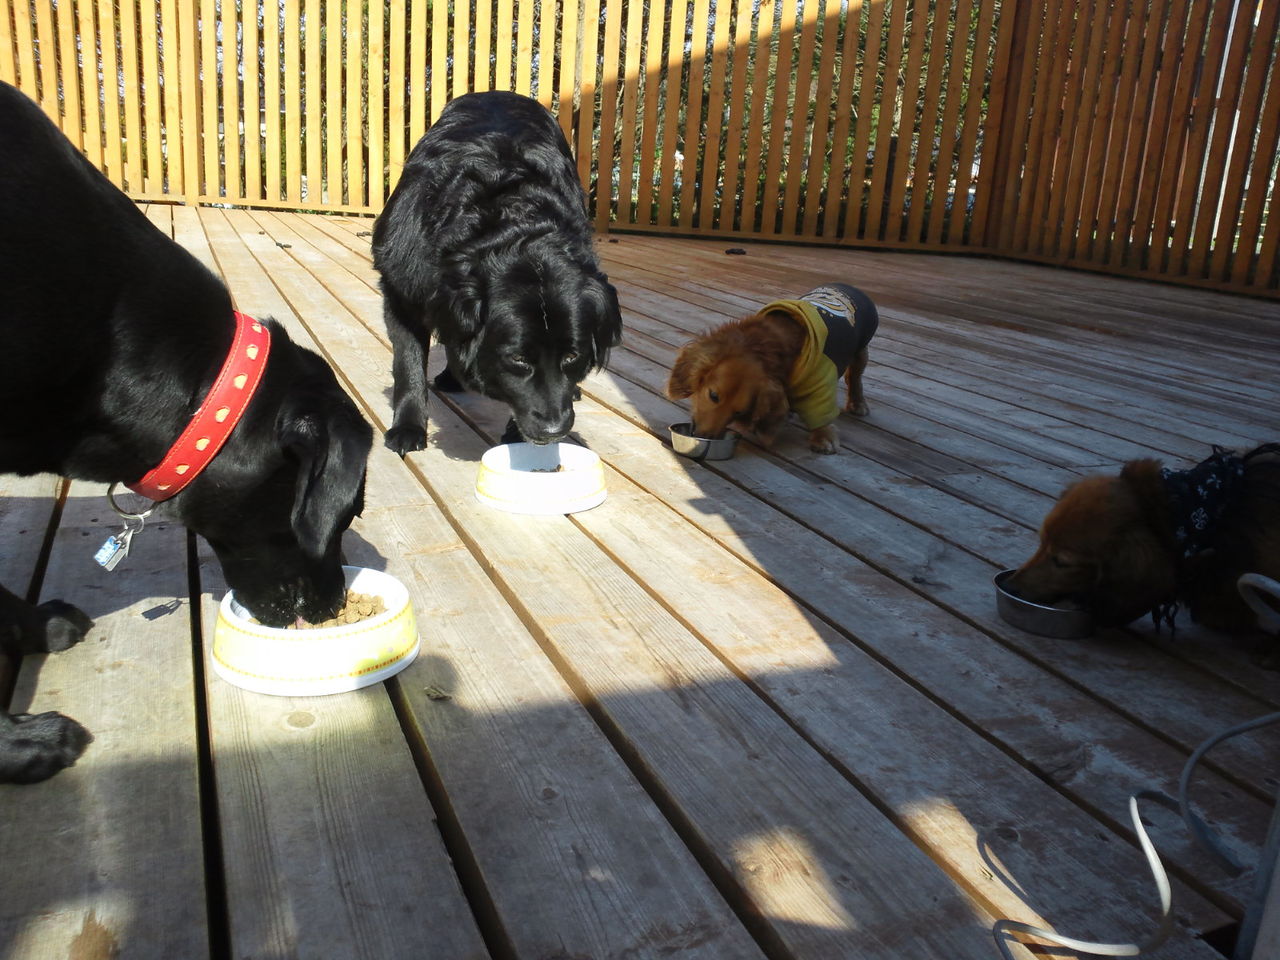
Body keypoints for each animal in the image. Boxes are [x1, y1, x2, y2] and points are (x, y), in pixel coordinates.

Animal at [372, 90, 623, 454]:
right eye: (517, 359)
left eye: (572, 355)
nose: (554, 430)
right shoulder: (402, 283)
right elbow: (408, 363)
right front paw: (408, 426)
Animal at [665, 283, 878, 454]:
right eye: (713, 396)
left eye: (739, 412)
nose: (706, 437)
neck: (765, 344)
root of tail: (848, 287)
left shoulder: (819, 379)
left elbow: (821, 411)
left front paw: (823, 436)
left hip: (861, 350)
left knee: (854, 378)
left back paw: (858, 403)